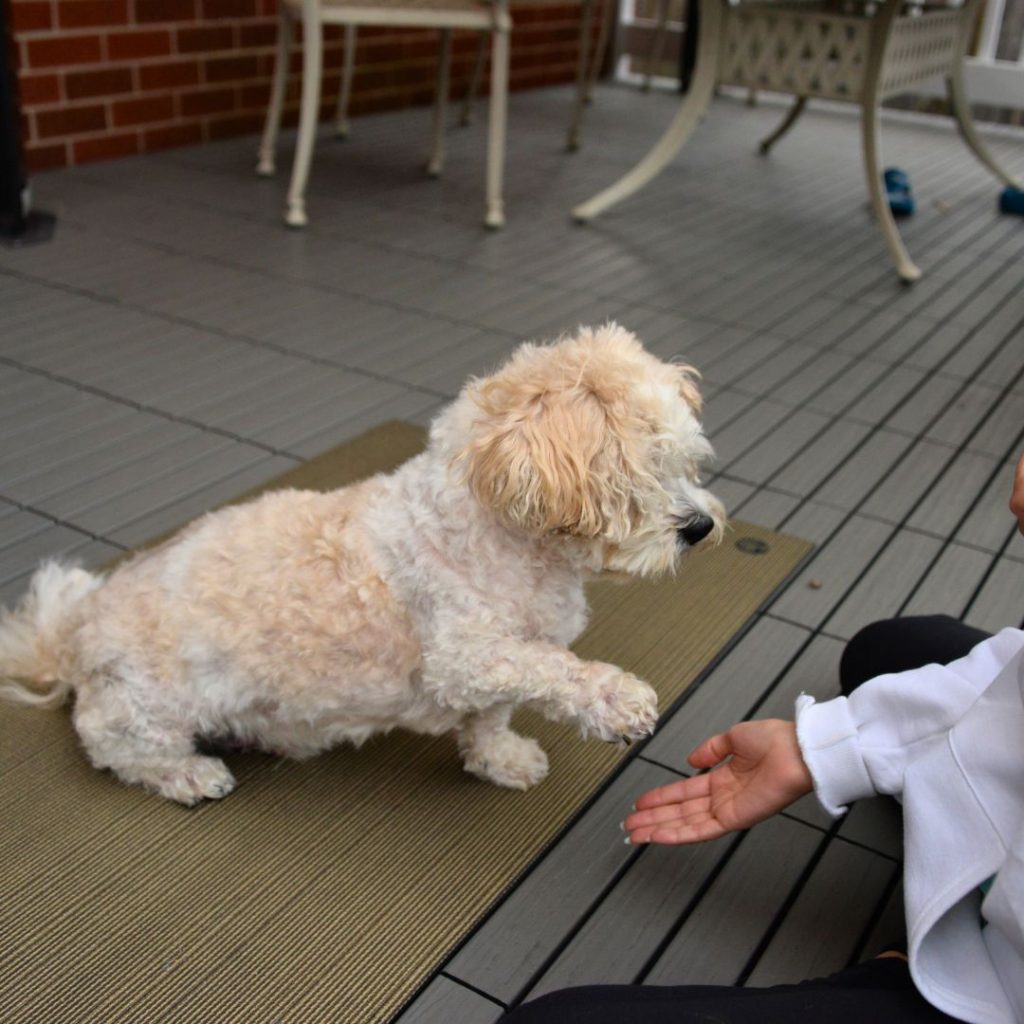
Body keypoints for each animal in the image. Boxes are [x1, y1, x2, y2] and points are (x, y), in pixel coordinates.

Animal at [0, 323, 724, 802]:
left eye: (687, 461)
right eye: (639, 474)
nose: (702, 526)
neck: (504, 542)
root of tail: (72, 636)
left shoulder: (493, 672)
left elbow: (494, 714)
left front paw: (500, 758)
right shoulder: (466, 655)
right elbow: (549, 669)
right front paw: (616, 700)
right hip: (146, 706)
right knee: (118, 747)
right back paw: (189, 773)